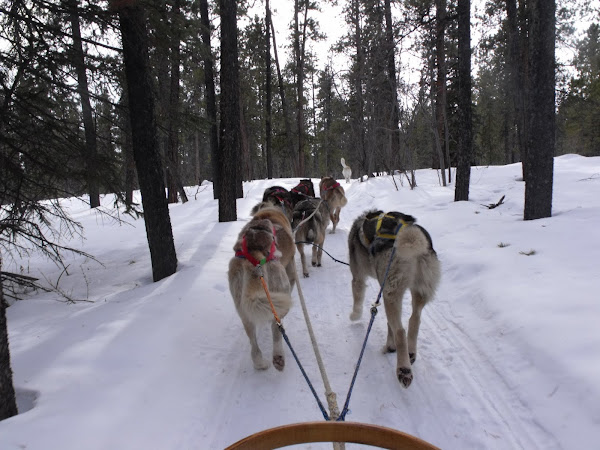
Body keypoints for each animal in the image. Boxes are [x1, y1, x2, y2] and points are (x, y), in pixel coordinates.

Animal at [229, 207, 296, 370]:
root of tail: (255, 255)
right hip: (281, 293)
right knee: (276, 328)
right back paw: (278, 356)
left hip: (244, 311)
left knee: (254, 346)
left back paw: (260, 363)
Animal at [346, 209, 440, 388]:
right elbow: (391, 325)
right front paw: (390, 345)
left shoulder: (358, 277)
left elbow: (357, 298)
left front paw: (354, 315)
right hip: (417, 291)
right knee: (414, 320)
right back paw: (409, 353)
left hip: (391, 293)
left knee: (400, 331)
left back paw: (403, 369)